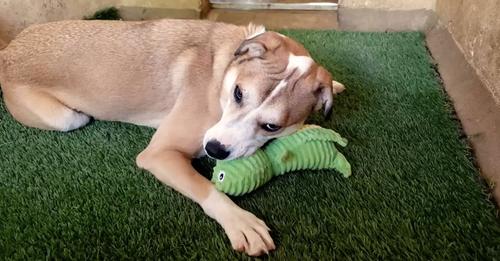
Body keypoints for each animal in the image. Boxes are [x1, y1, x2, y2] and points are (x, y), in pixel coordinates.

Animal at [0, 19, 344, 255]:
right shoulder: (159, 154)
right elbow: (207, 188)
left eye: (272, 127)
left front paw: (336, 85)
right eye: (238, 93)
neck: (223, 68)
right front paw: (239, 221)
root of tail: (8, 52)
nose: (214, 149)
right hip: (68, 119)